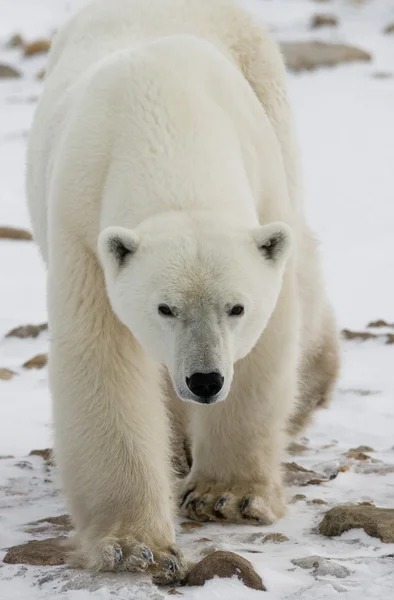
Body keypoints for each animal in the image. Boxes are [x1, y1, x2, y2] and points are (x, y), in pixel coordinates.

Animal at [26, 0, 338, 584]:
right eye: (164, 308)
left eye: (236, 307)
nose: (205, 379)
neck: (166, 121)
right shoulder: (82, 228)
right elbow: (103, 361)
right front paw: (133, 545)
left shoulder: (262, 185)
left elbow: (267, 344)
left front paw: (227, 496)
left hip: (271, 98)